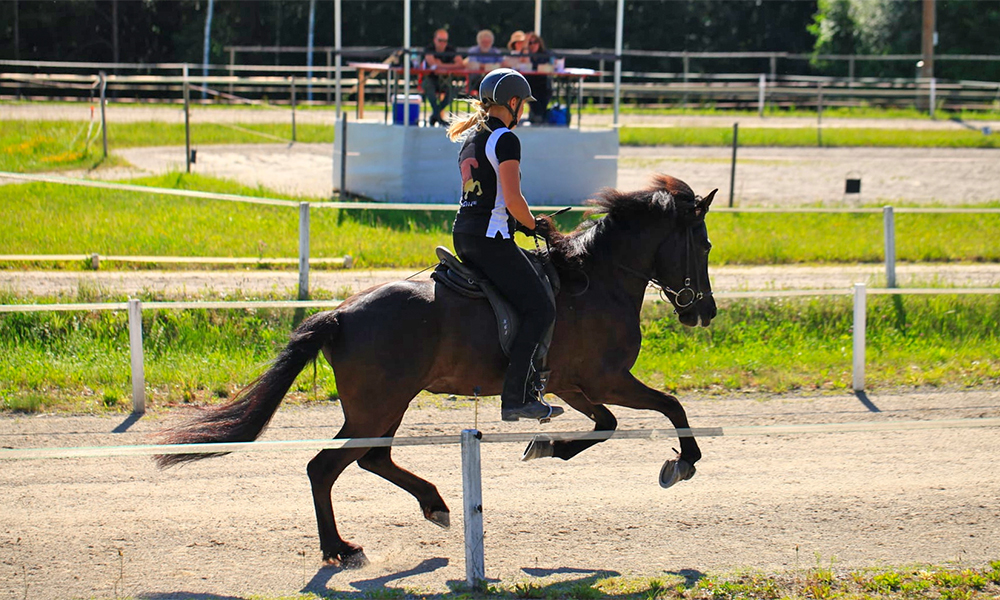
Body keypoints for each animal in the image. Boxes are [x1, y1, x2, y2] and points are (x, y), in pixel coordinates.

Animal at [158, 175, 720, 568]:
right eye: (705, 245)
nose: (705, 311)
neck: (598, 279)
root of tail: (340, 315)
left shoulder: (572, 385)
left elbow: (606, 425)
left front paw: (547, 447)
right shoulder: (606, 379)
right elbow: (670, 406)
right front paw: (684, 462)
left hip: (387, 405)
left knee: (371, 459)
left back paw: (433, 505)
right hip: (376, 406)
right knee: (326, 466)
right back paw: (341, 548)